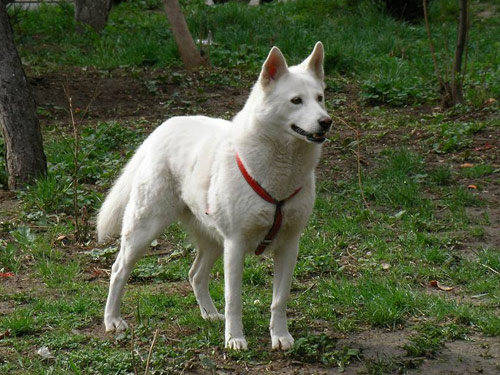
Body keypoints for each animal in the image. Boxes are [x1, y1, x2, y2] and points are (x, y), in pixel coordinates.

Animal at [97, 42, 332, 352]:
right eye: (296, 101)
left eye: (320, 98)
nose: (326, 122)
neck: (280, 171)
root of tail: (163, 127)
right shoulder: (235, 244)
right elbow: (234, 299)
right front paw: (235, 339)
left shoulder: (289, 246)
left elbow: (279, 300)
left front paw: (280, 336)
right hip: (145, 229)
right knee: (118, 269)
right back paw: (112, 320)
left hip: (212, 240)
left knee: (195, 274)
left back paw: (209, 315)